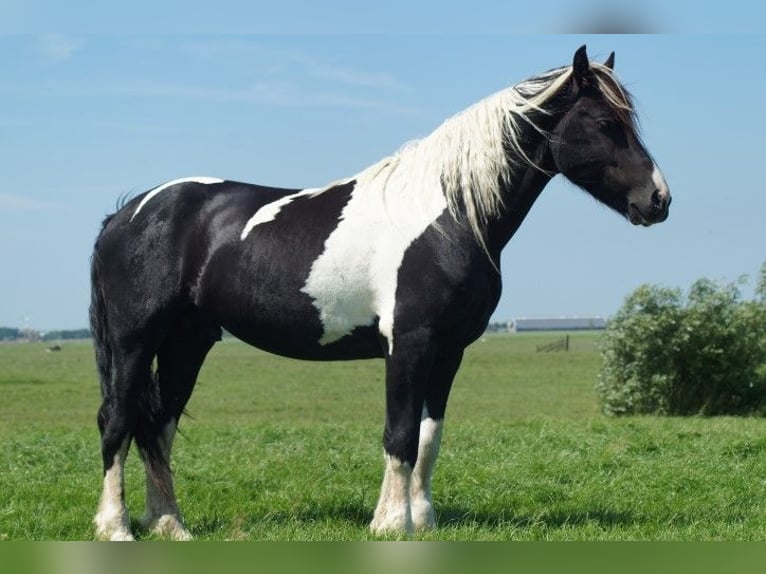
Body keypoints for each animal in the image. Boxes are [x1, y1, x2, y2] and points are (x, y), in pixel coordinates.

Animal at [91, 47, 672, 544]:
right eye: (605, 123)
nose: (659, 200)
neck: (450, 217)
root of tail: (127, 213)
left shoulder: (450, 351)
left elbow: (428, 438)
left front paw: (423, 520)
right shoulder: (409, 343)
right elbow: (399, 435)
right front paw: (391, 525)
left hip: (187, 342)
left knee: (158, 426)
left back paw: (170, 525)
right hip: (135, 342)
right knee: (117, 420)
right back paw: (116, 527)